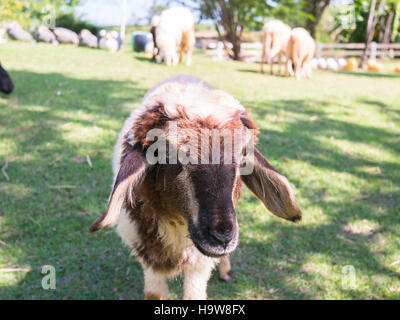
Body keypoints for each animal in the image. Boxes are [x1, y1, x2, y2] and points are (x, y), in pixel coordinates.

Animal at [90, 75, 304, 300]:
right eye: (166, 155)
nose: (222, 237)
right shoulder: (147, 252)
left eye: (243, 158)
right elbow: (154, 294)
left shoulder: (200, 262)